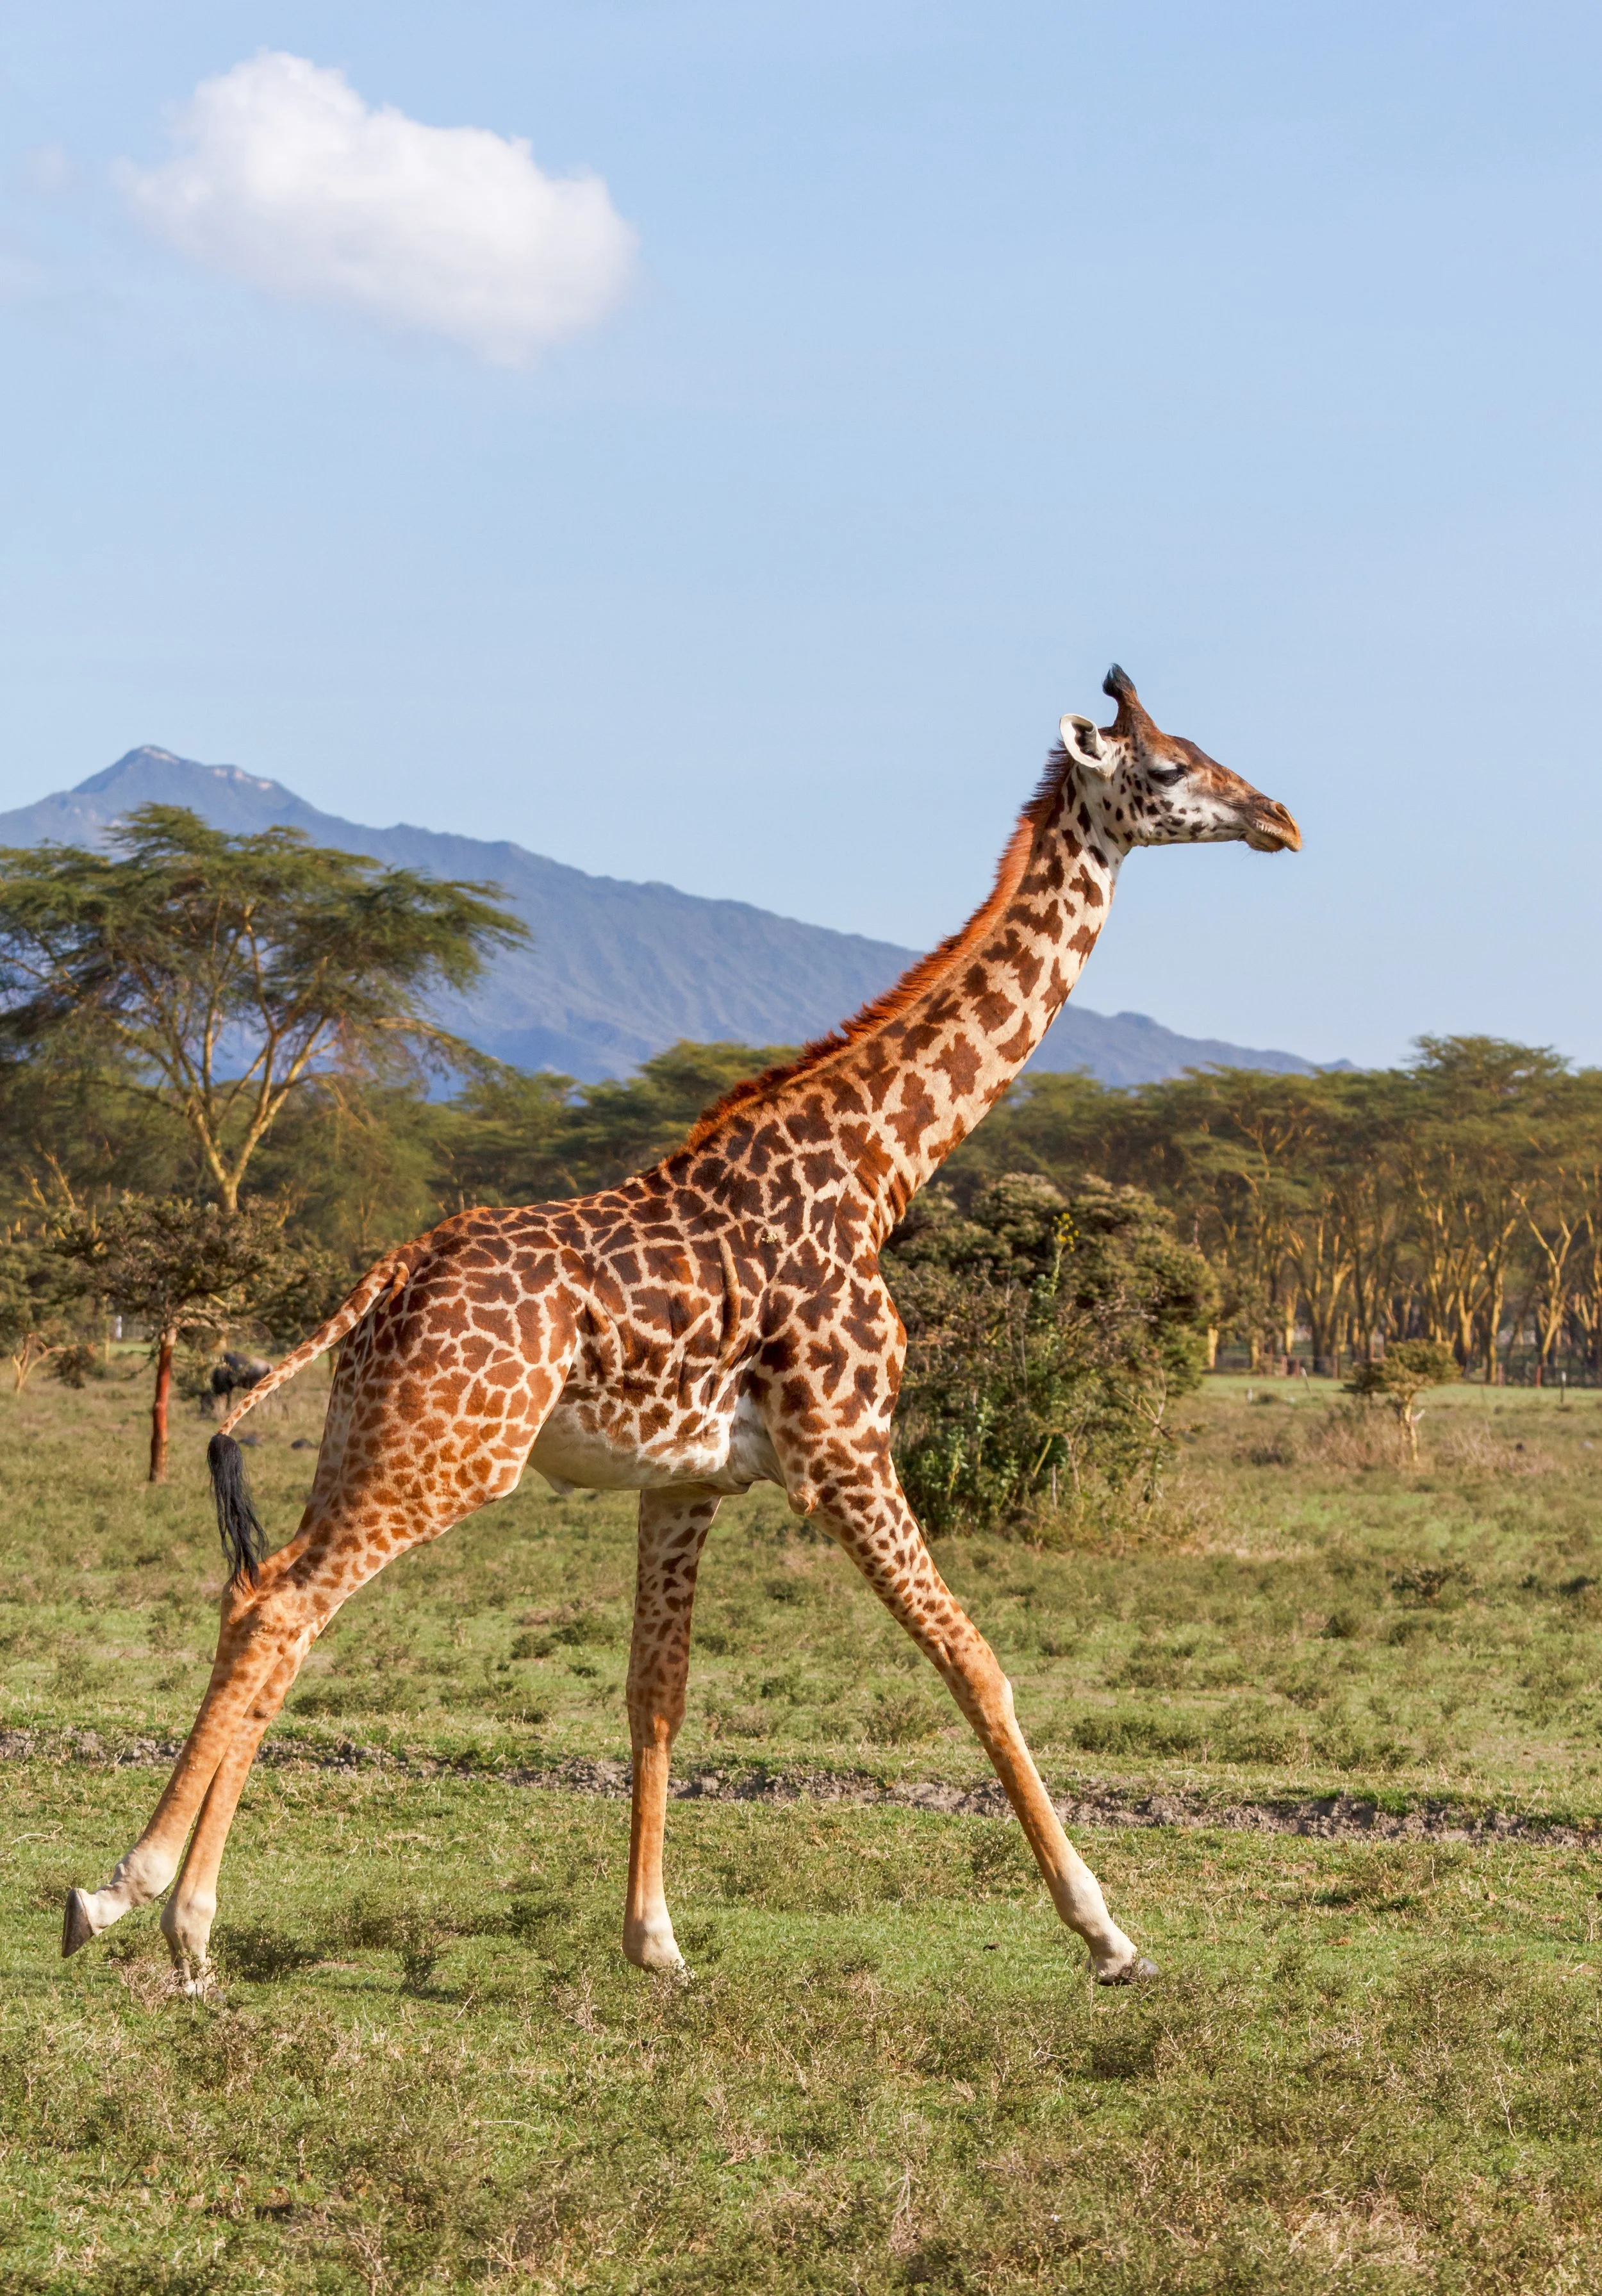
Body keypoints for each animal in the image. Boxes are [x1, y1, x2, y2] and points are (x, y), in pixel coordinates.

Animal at [62, 667, 1300, 1992]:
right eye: (1167, 767)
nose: (1280, 817)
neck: (878, 1169)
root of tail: (393, 1270)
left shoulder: (687, 1480)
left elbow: (656, 1692)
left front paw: (653, 1939)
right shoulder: (845, 1450)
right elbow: (976, 1664)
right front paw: (1108, 1931)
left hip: (372, 1433)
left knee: (262, 1596)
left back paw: (173, 1915)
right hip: (453, 1458)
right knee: (284, 1610)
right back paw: (145, 1900)